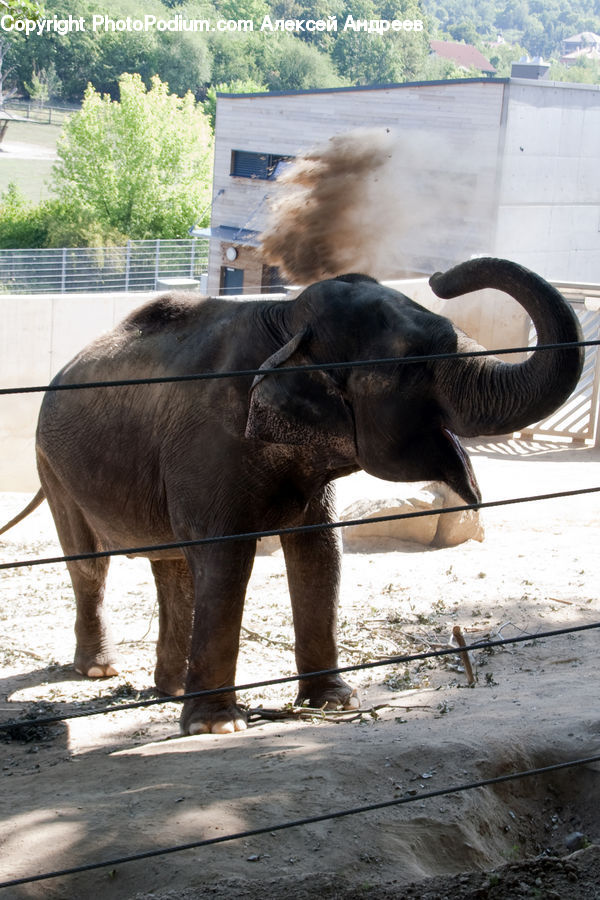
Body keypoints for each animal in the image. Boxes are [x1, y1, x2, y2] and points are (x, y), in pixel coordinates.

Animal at [0, 258, 583, 736]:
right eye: (413, 365)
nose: (442, 277)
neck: (284, 319)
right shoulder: (209, 442)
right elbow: (227, 557)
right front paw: (218, 727)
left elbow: (321, 551)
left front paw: (335, 703)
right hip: (52, 462)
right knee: (90, 562)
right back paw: (103, 670)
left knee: (173, 567)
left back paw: (170, 689)